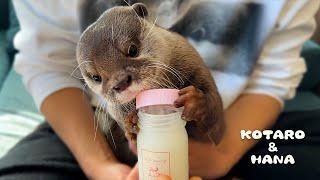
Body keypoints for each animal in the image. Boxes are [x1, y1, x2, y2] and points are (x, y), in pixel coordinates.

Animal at [76, 3, 224, 165]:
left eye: (132, 50)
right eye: (96, 77)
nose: (121, 82)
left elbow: (214, 112)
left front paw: (194, 102)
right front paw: (130, 123)